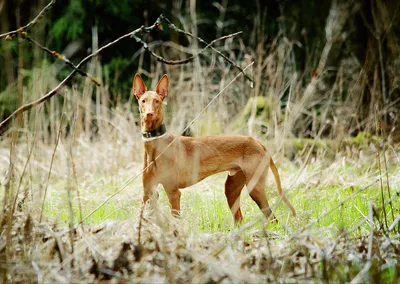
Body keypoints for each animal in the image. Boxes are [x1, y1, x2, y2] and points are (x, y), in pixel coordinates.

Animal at [133, 74, 296, 224]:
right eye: (143, 101)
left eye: (157, 101)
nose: (149, 114)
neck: (155, 145)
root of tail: (258, 142)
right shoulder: (147, 193)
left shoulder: (173, 192)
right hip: (231, 189)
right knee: (239, 219)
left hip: (255, 188)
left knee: (273, 219)